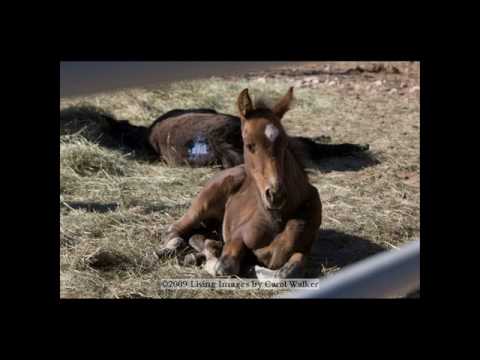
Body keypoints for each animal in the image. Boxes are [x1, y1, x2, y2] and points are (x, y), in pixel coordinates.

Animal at [158, 88, 322, 278]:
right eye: (249, 145)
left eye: (285, 143)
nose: (276, 195)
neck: (278, 218)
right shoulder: (237, 236)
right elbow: (224, 266)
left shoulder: (304, 251)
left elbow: (286, 273)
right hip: (201, 206)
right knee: (175, 230)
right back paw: (169, 250)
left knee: (196, 236)